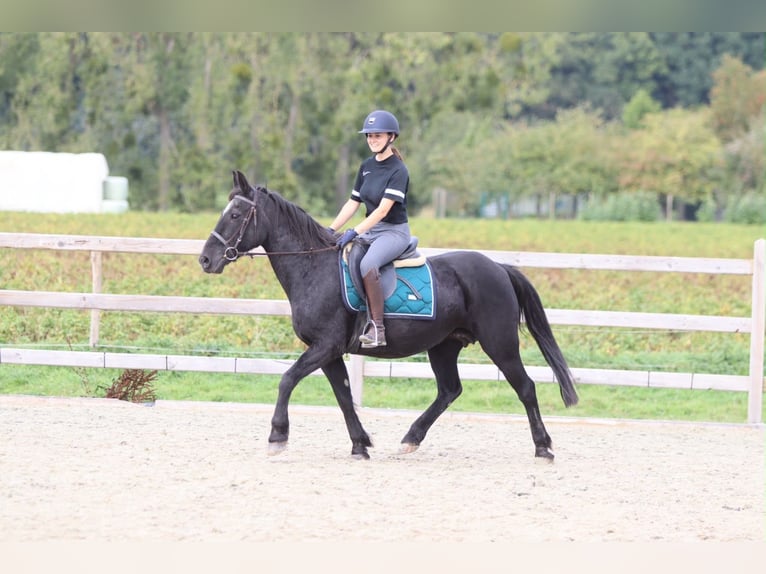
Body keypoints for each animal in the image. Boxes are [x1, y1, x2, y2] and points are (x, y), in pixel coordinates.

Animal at [199, 170, 578, 461]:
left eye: (235, 215)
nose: (205, 260)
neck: (314, 267)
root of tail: (498, 268)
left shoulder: (324, 346)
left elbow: (287, 380)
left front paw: (278, 437)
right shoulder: (330, 352)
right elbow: (344, 397)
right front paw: (360, 445)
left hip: (500, 343)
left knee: (525, 387)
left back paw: (543, 448)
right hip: (444, 346)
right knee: (449, 390)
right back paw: (411, 438)